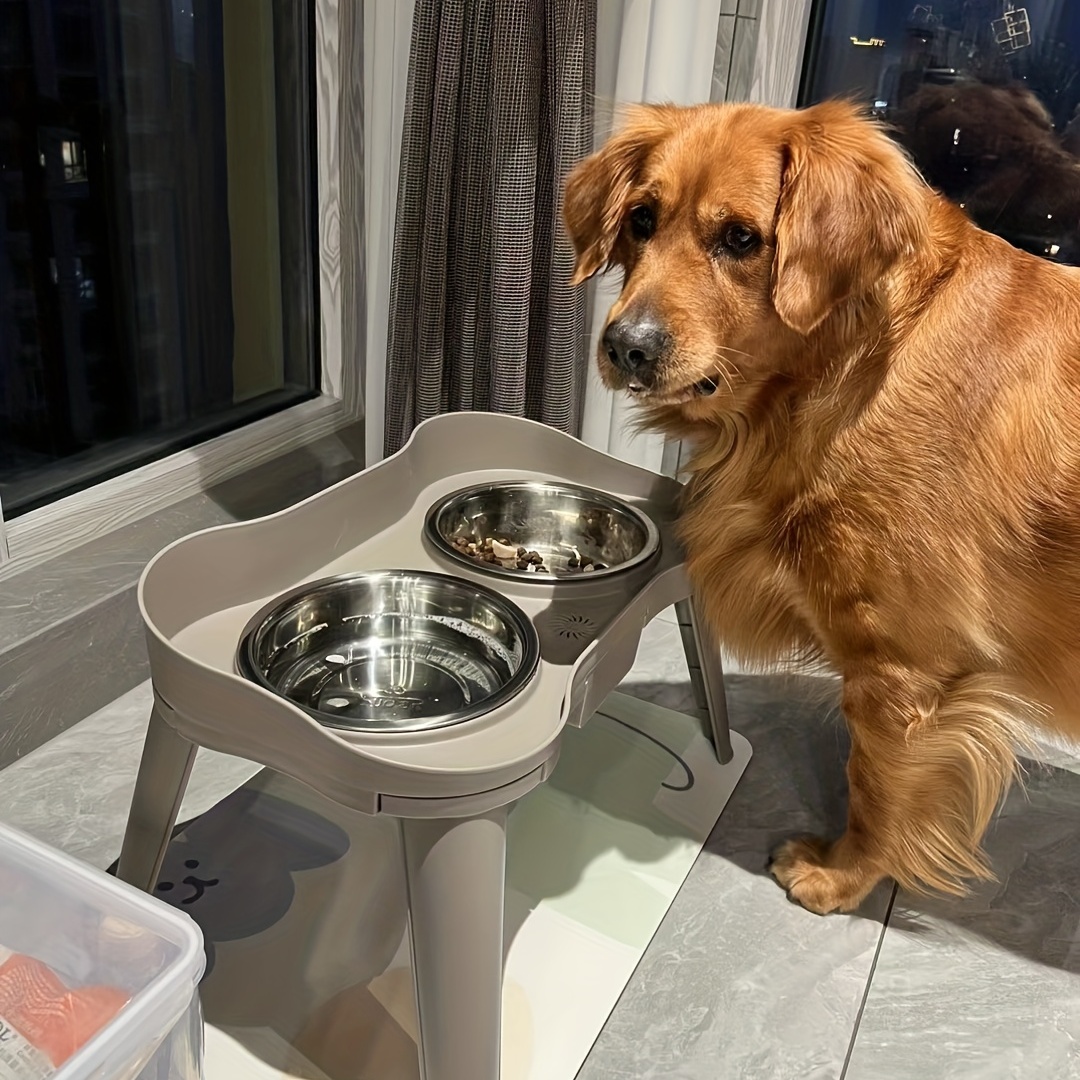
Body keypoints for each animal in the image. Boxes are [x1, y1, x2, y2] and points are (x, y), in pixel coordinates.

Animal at [561, 99, 1080, 911]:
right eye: (641, 219)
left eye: (741, 238)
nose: (626, 347)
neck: (851, 359)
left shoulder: (904, 666)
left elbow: (875, 783)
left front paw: (843, 876)